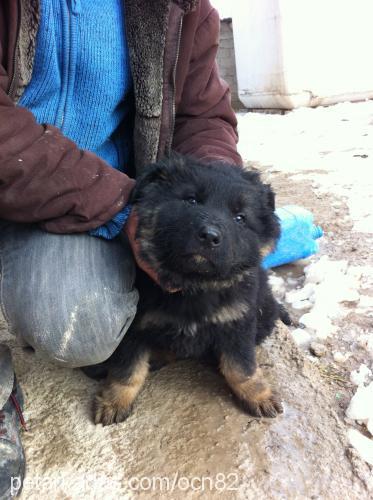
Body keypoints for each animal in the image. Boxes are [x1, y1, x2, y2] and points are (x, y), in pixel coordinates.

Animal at [85, 156, 290, 426]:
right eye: (191, 200)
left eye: (240, 218)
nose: (210, 236)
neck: (195, 286)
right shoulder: (134, 326)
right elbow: (127, 369)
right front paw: (115, 400)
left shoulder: (239, 321)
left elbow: (242, 366)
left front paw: (257, 394)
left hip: (265, 311)